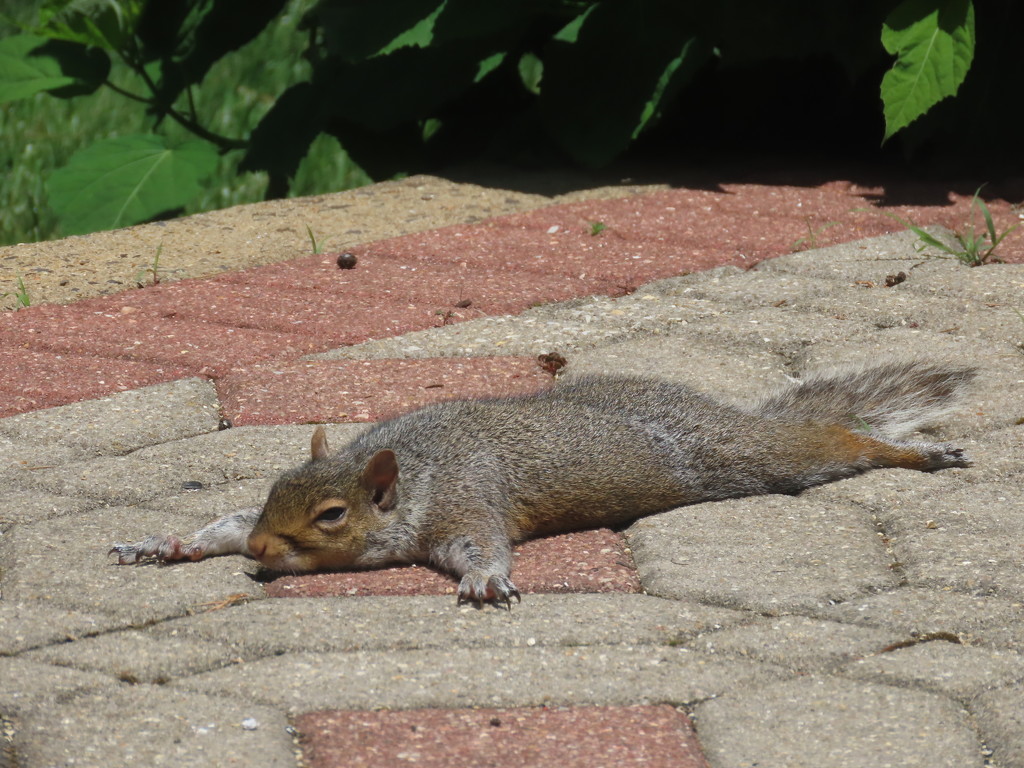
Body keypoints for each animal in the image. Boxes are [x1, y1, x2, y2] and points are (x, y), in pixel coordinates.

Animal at [112, 360, 974, 606]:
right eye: (272, 492)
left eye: (330, 515)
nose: (263, 550)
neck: (412, 475)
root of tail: (709, 409)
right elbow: (217, 524)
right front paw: (167, 543)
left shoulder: (464, 502)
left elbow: (481, 545)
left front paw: (485, 581)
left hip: (740, 458)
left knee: (829, 442)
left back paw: (916, 455)